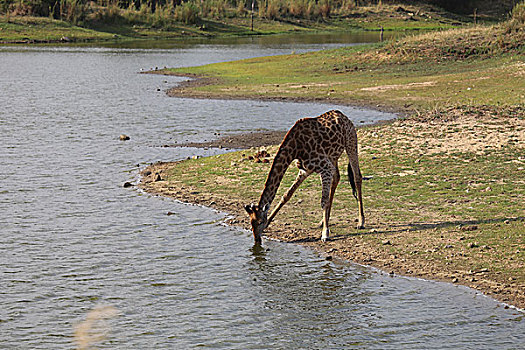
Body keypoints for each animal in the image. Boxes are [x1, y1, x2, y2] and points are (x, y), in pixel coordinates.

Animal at [244, 110, 362, 246]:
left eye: (259, 222)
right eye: (251, 222)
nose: (257, 240)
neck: (295, 148)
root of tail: (343, 116)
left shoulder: (325, 167)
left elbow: (324, 201)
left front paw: (325, 234)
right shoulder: (305, 170)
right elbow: (286, 195)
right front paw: (269, 222)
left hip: (351, 143)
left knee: (357, 177)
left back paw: (361, 222)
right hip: (333, 156)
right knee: (337, 178)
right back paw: (323, 221)